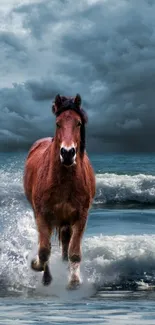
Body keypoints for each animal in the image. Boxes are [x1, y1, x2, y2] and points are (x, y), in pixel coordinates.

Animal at [23, 93, 95, 288]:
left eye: (78, 123)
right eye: (58, 123)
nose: (68, 153)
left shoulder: (80, 216)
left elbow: (74, 252)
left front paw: (74, 280)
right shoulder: (42, 215)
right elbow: (43, 250)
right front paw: (36, 265)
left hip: (65, 221)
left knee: (65, 243)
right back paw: (47, 277)